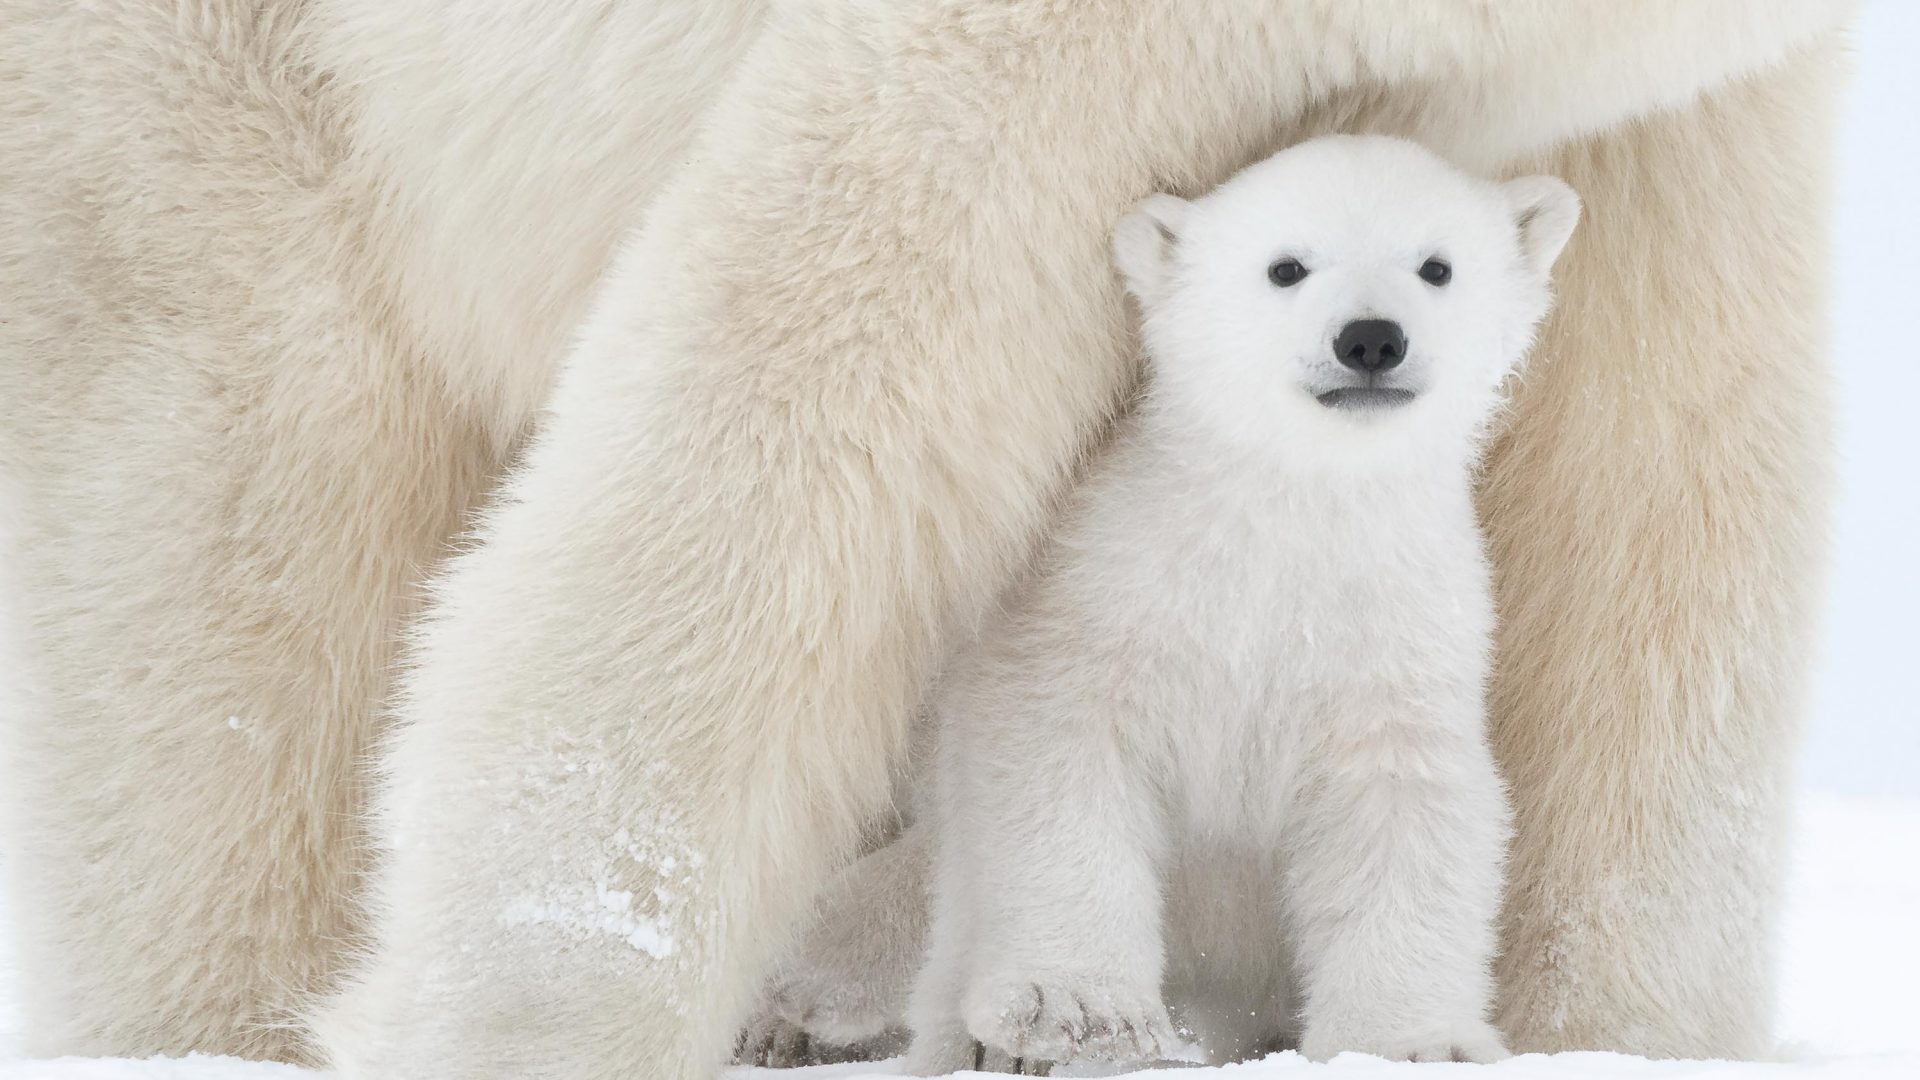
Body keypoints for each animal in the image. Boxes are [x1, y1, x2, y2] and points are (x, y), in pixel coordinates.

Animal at [3, 0, 1843, 1068]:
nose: (1376, 342)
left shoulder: (1667, 96)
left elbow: (1664, 441)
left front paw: (1605, 1027)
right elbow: (829, 343)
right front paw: (530, 1017)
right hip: (224, 99)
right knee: (237, 490)